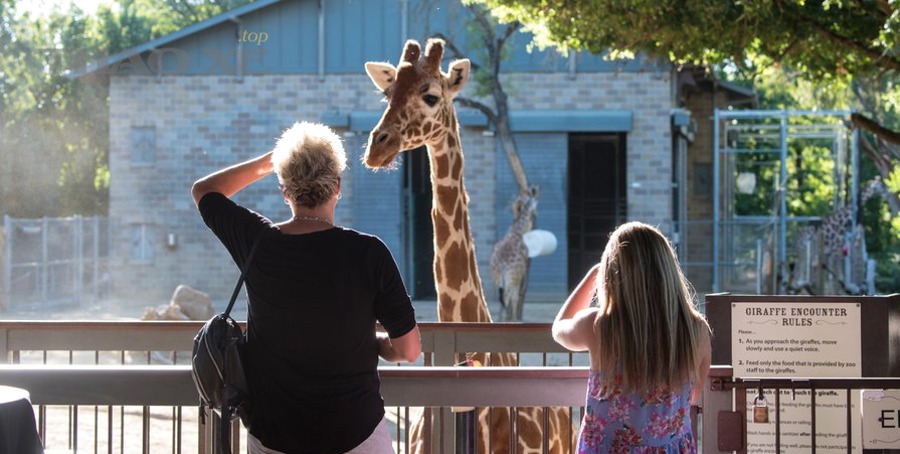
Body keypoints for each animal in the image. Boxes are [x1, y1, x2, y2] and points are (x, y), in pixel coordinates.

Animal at [491, 186, 538, 322]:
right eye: (535, 201)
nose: (535, 214)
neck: (517, 232)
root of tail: (502, 264)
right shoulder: (519, 272)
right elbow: (515, 297)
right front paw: (515, 320)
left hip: (497, 276)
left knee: (502, 297)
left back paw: (499, 320)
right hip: (510, 275)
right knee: (507, 297)